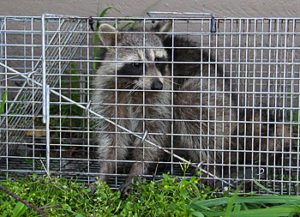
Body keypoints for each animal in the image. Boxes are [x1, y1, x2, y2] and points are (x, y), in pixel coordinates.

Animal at [91, 22, 171, 191]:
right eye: (137, 64)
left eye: (158, 60)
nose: (157, 85)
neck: (133, 86)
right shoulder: (109, 95)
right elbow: (113, 135)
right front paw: (107, 166)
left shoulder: (159, 101)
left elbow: (151, 135)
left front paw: (138, 167)